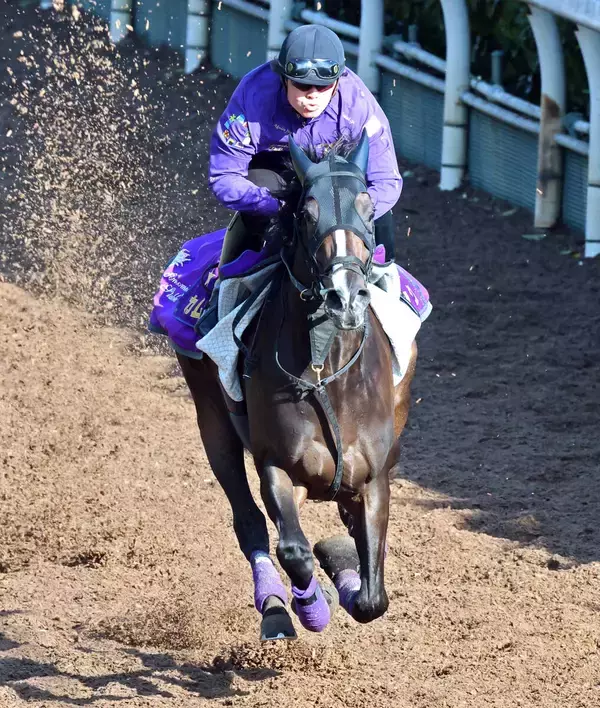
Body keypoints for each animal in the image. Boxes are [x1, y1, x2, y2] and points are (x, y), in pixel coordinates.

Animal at [175, 131, 418, 640]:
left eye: (368, 207)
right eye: (305, 213)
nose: (344, 295)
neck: (330, 374)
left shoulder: (376, 476)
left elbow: (372, 598)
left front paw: (343, 565)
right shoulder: (276, 463)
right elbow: (293, 550)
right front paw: (312, 609)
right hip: (212, 420)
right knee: (250, 522)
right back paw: (274, 607)